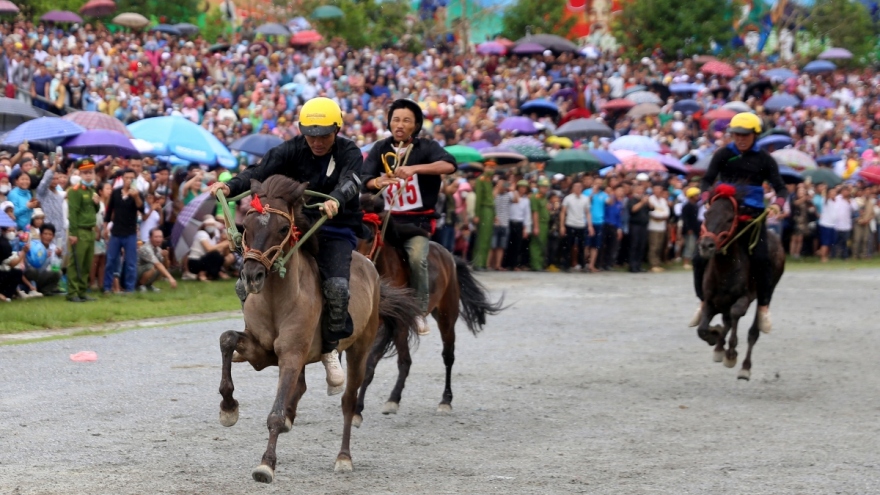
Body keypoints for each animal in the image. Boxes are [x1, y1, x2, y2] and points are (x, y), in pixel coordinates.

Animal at [215, 176, 418, 482]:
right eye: (245, 226)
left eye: (283, 228)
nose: (252, 276)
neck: (277, 299)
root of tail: (370, 266)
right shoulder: (260, 351)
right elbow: (227, 339)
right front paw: (228, 408)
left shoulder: (290, 355)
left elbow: (275, 413)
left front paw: (266, 464)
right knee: (301, 385)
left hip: (360, 347)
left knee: (349, 400)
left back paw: (344, 456)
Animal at [350, 194, 502, 426]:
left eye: (369, 235)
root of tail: (449, 255)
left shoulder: (392, 324)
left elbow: (372, 364)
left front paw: (358, 411)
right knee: (403, 360)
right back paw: (394, 399)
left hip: (446, 316)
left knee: (447, 356)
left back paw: (445, 401)